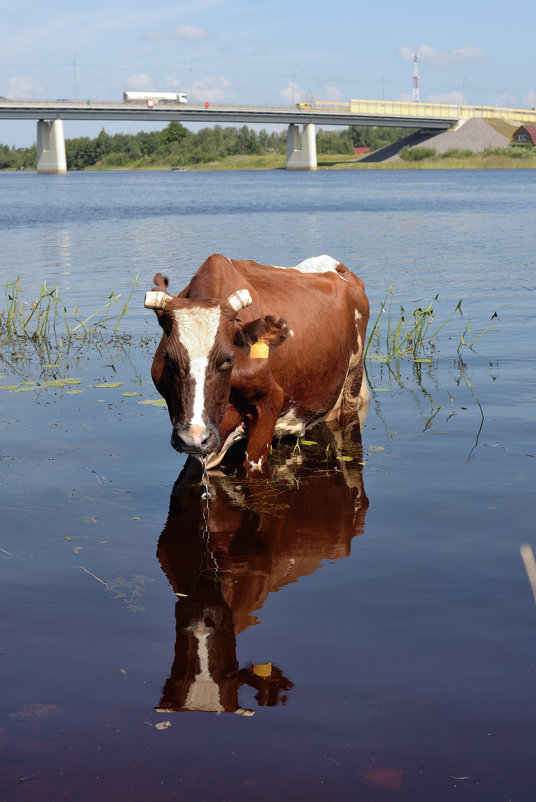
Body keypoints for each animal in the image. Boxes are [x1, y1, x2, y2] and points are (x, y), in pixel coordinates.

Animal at [143, 253, 368, 468]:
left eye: (228, 358)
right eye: (168, 358)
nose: (195, 438)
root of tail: (338, 267)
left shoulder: (270, 402)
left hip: (352, 381)